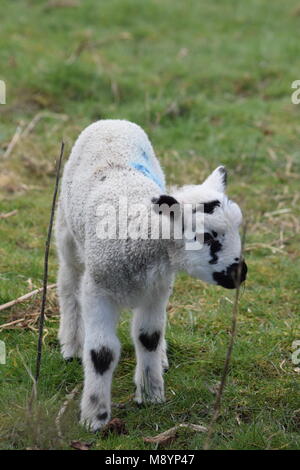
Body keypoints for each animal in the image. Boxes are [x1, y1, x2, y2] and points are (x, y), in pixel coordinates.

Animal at [55, 119, 247, 432]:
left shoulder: (156, 290)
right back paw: (72, 345)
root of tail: (112, 121)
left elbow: (149, 337)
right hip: (67, 233)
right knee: (69, 285)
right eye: (205, 236)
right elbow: (101, 354)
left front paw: (151, 395)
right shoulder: (98, 290)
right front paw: (95, 417)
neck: (139, 236)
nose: (239, 273)